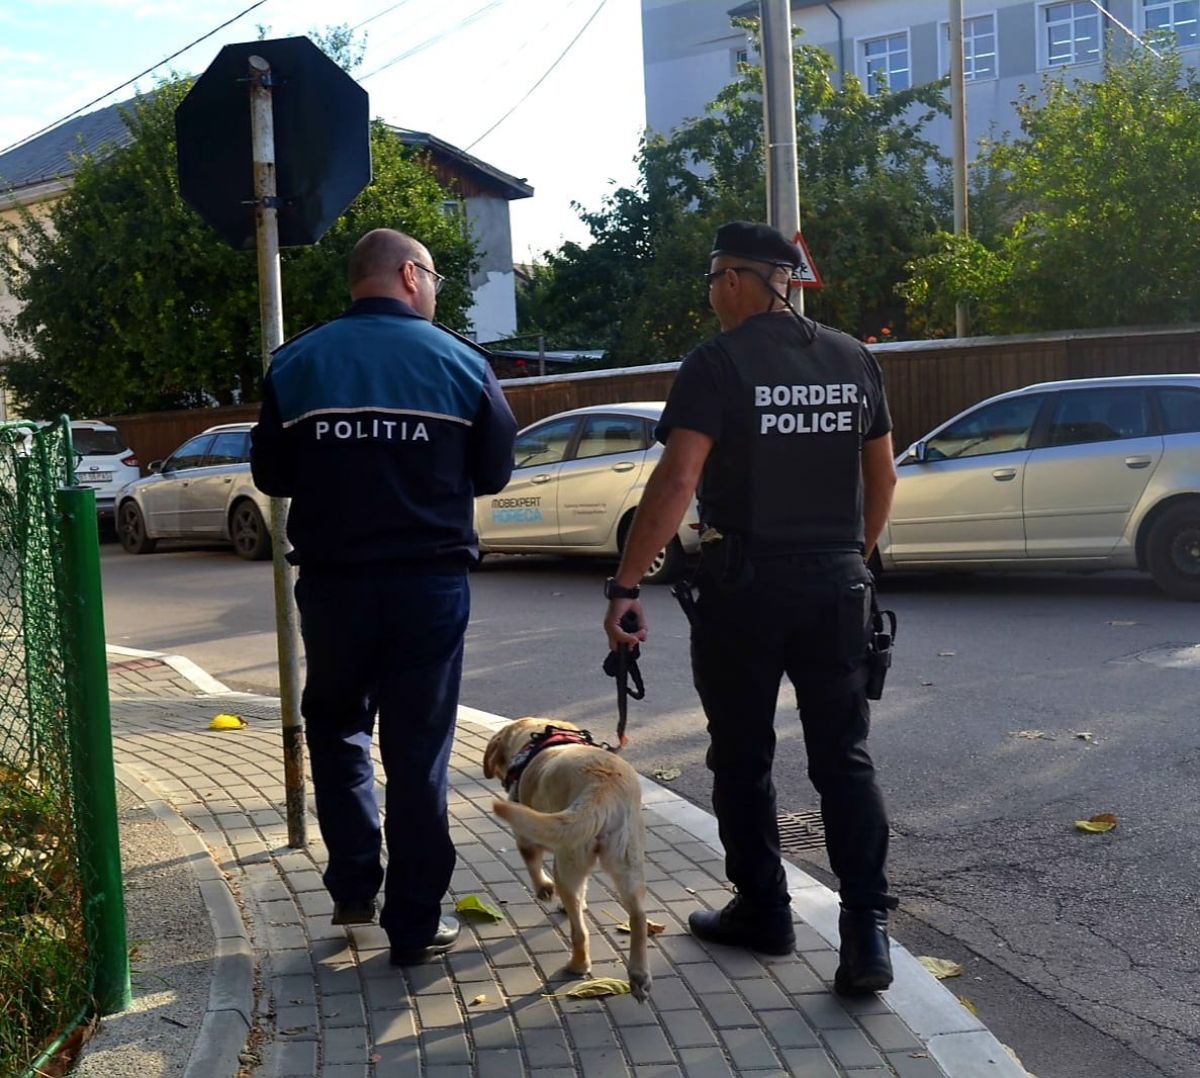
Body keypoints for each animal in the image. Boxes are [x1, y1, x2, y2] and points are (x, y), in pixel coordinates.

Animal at [482, 717, 651, 1002]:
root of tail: (601, 789)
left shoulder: (527, 838)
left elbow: (532, 863)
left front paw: (544, 890)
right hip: (629, 863)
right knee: (638, 916)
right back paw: (639, 975)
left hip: (566, 862)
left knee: (579, 932)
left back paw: (577, 965)